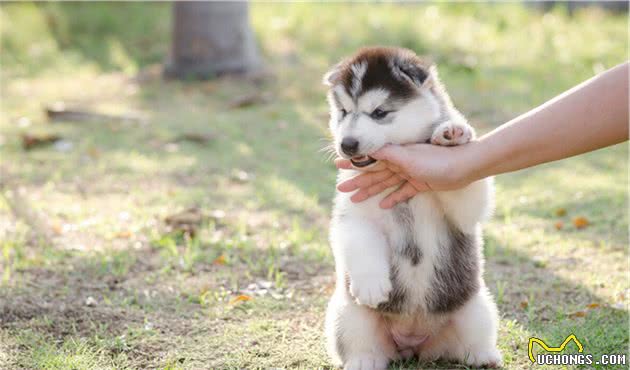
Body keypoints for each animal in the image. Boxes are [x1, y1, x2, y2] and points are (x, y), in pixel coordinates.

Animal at [326, 47, 504, 370]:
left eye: (379, 113)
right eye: (343, 112)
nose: (347, 144)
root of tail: (411, 341)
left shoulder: (462, 211)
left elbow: (467, 196)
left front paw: (450, 134)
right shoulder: (353, 212)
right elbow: (360, 239)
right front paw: (371, 284)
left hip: (477, 307)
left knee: (472, 341)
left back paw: (484, 356)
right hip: (347, 315)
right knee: (361, 344)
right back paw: (363, 360)